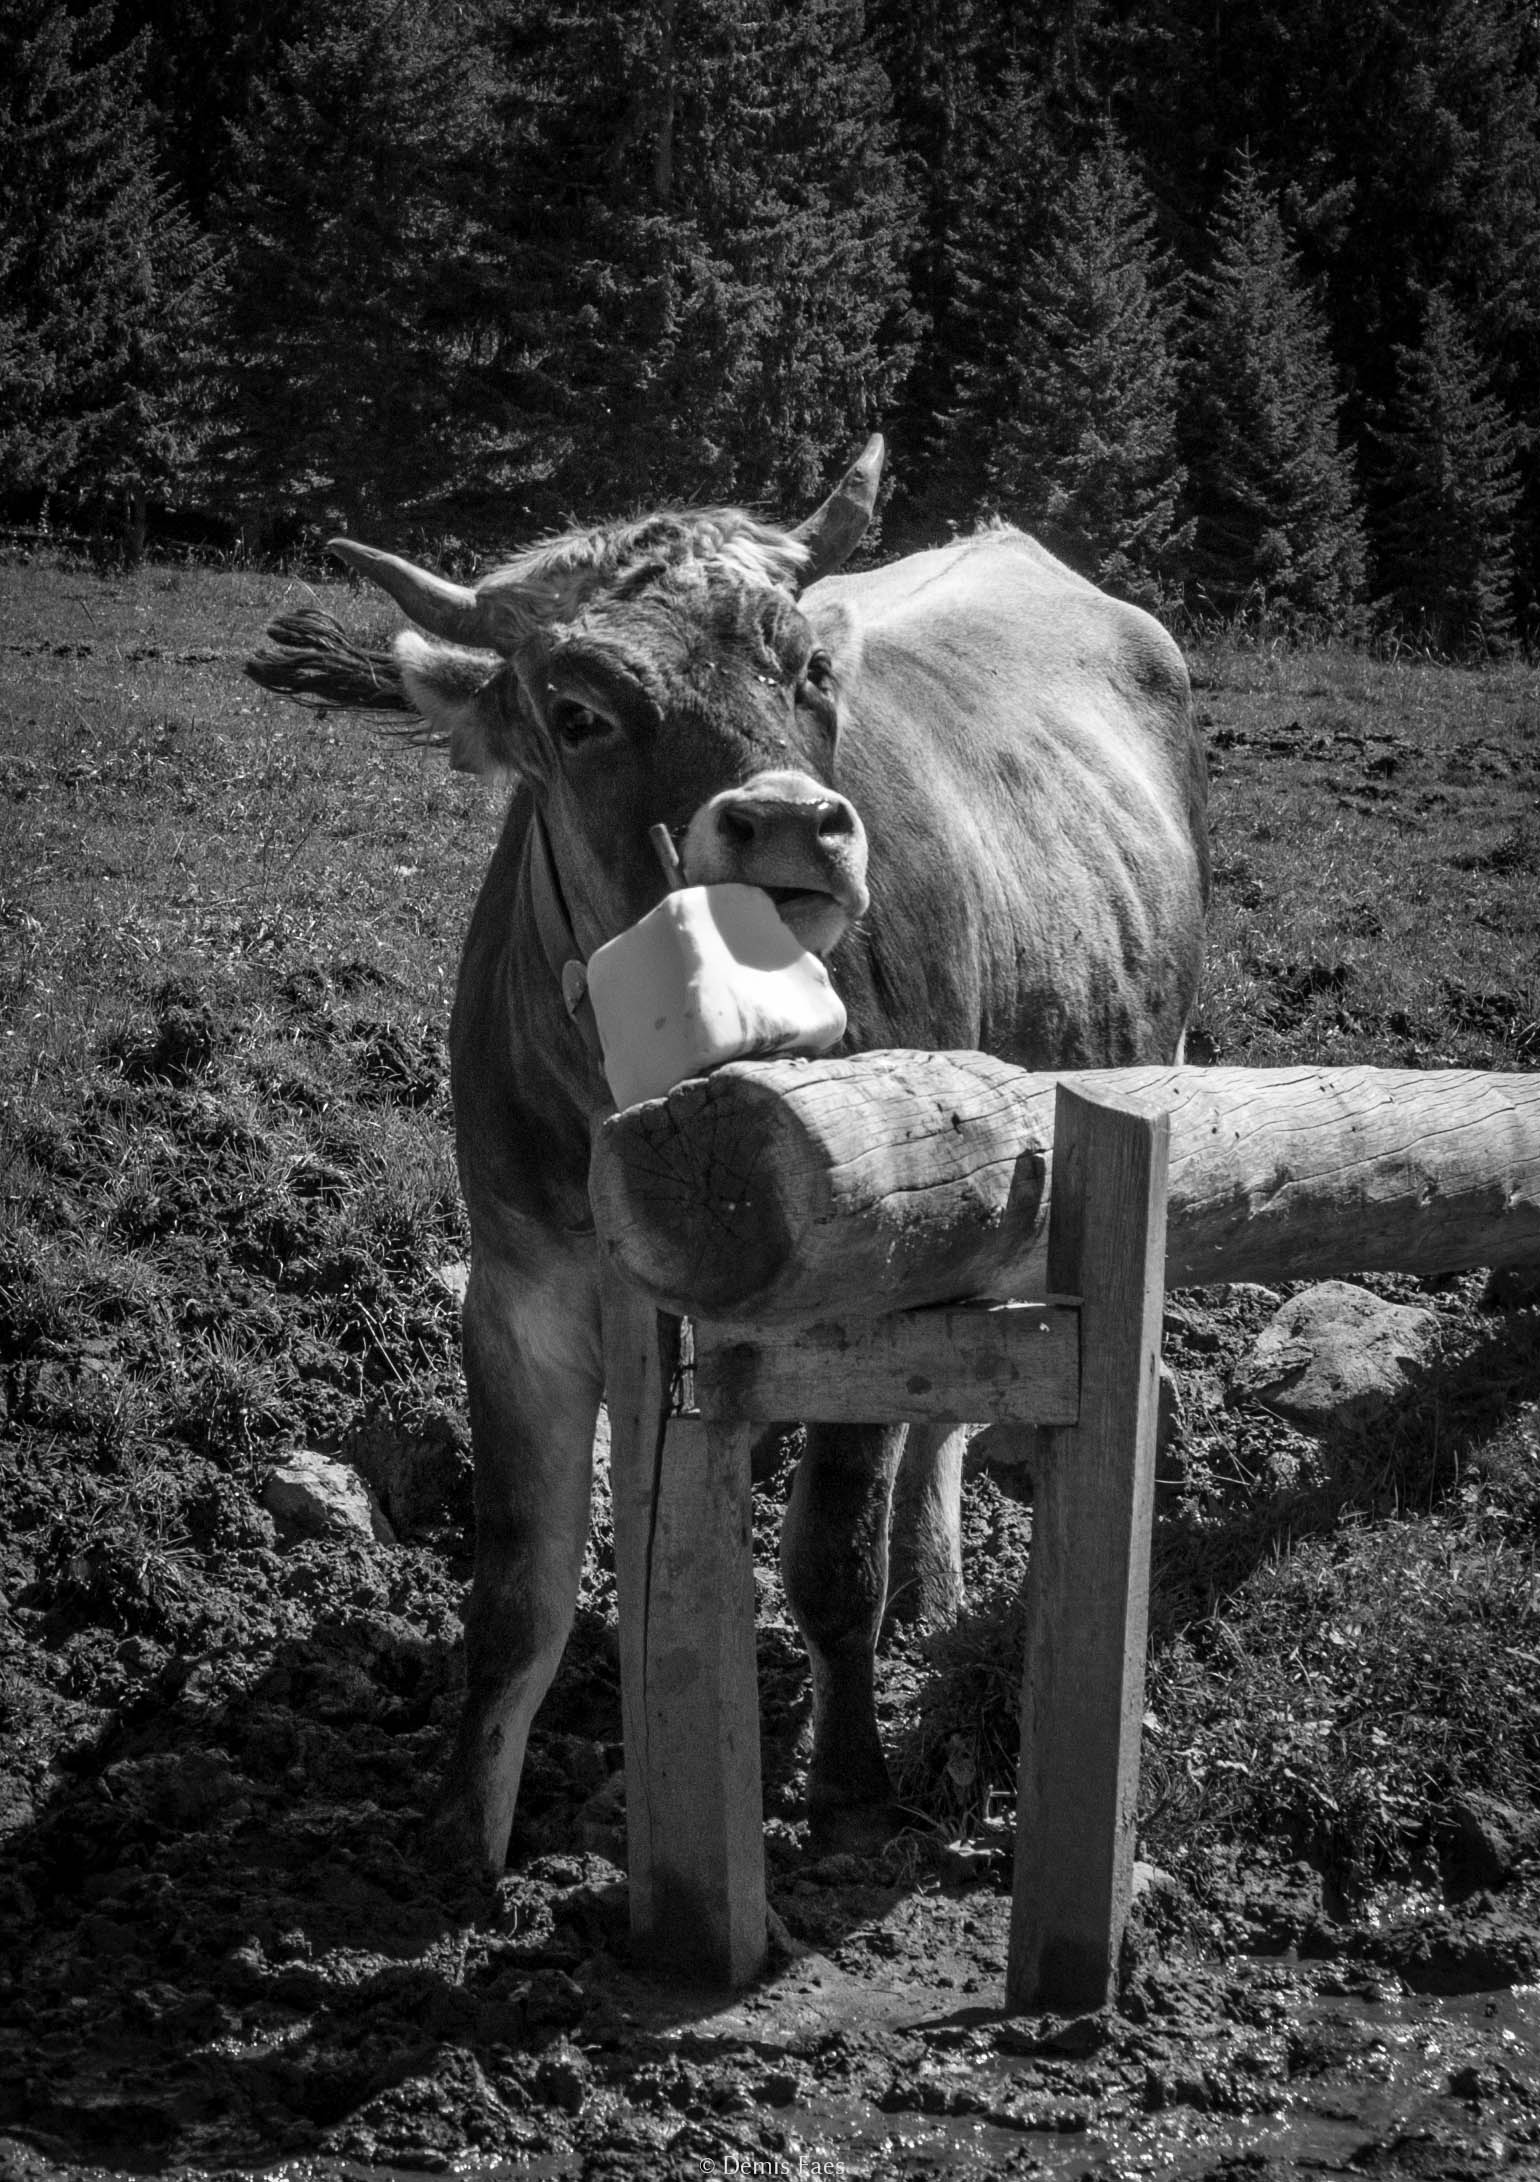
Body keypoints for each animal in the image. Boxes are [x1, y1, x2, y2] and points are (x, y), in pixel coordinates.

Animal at [247, 435, 1209, 1874]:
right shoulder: (518, 1292)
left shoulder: (869, 1290)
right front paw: (461, 1833)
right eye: (577, 710)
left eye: (804, 666)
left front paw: (850, 1778)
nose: (794, 823)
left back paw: (934, 1582)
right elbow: (515, 1586)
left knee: (956, 1408)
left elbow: (831, 1553)